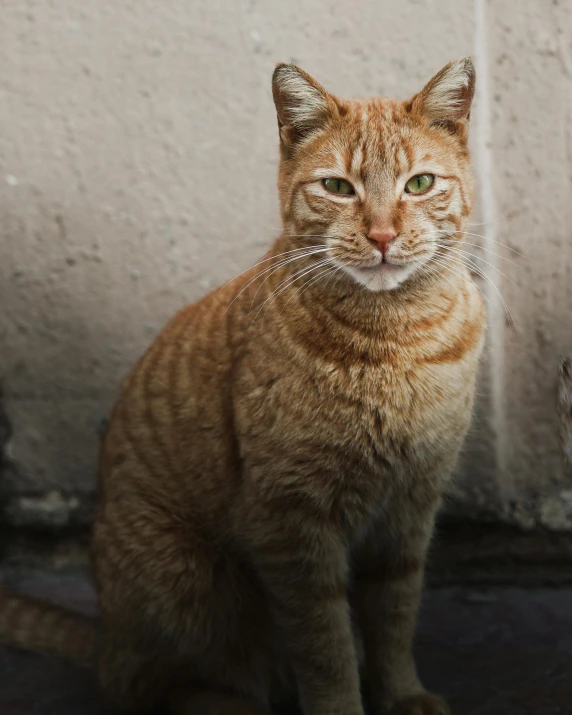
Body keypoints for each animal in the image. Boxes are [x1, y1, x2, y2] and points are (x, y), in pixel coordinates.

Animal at [0, 57, 484, 715]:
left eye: (419, 184)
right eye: (339, 188)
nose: (383, 236)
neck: (394, 339)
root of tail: (103, 639)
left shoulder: (410, 509)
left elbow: (394, 618)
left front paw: (403, 693)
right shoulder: (291, 522)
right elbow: (325, 647)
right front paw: (343, 703)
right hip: (184, 579)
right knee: (157, 686)